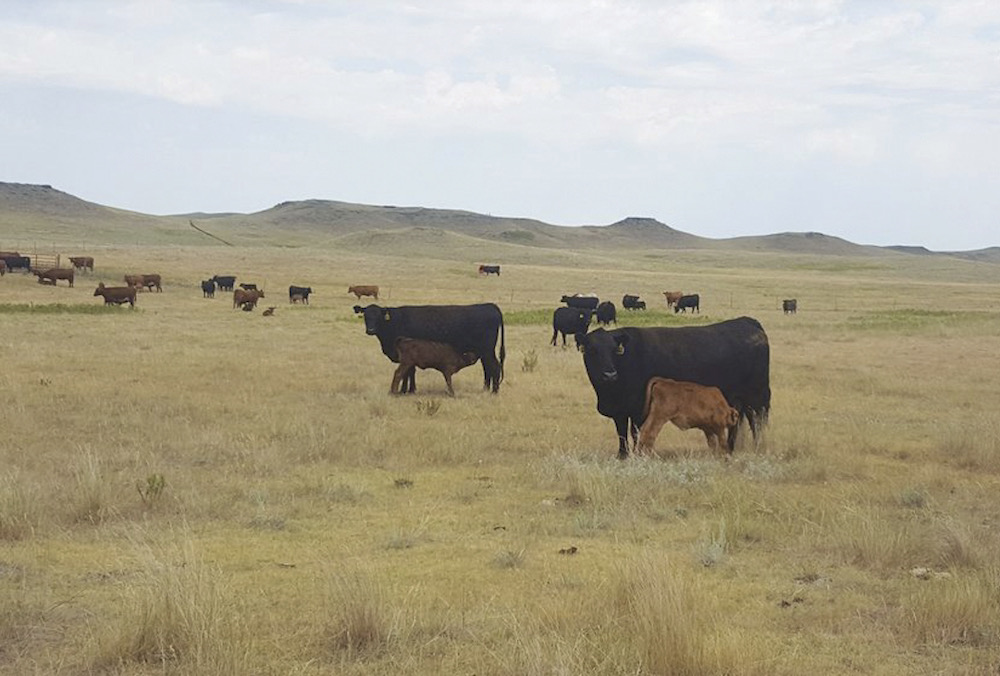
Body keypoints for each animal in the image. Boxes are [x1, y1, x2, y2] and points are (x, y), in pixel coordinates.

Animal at [354, 303, 505, 394]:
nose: (370, 330)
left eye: (378, 316)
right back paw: (485, 389)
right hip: (484, 351)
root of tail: (491, 306)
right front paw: (410, 389)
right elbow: (410, 372)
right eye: (365, 316)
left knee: (494, 367)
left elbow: (408, 372)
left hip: (487, 350)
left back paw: (494, 392)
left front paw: (405, 390)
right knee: (487, 368)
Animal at [577, 317, 770, 459]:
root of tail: (747, 322)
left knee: (758, 422)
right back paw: (731, 448)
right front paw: (622, 455)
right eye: (591, 350)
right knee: (740, 422)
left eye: (614, 350)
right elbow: (621, 433)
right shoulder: (620, 410)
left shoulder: (639, 409)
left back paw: (757, 448)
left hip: (757, 395)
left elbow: (635, 433)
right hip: (739, 399)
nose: (610, 375)